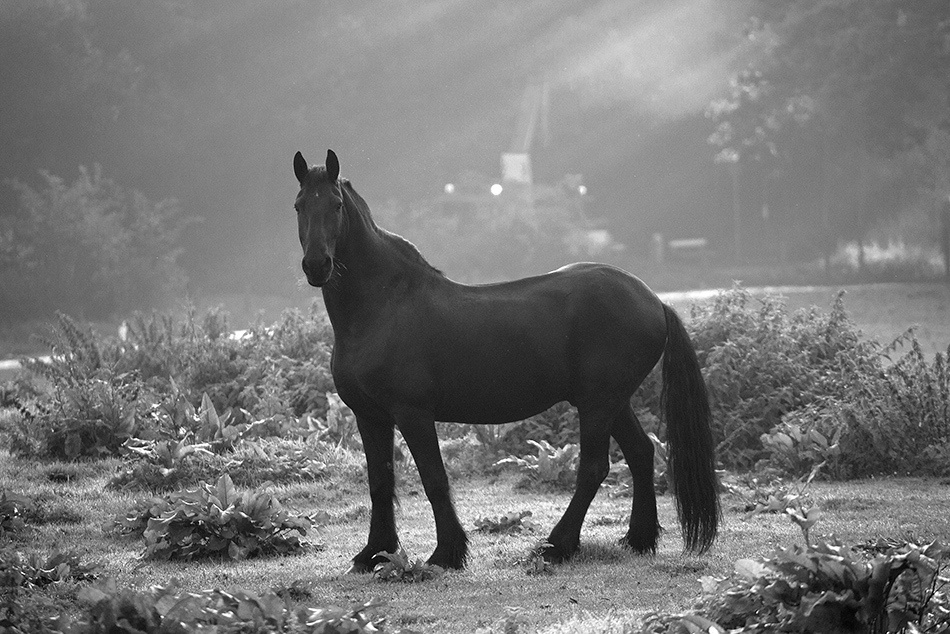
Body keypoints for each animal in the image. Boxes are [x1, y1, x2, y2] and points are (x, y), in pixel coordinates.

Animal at [292, 149, 719, 571]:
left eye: (336, 205)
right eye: (299, 205)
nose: (317, 265)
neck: (382, 307)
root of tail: (655, 301)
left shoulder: (413, 414)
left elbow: (434, 479)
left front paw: (446, 553)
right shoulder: (370, 416)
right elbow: (380, 482)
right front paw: (373, 553)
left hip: (599, 403)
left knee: (594, 468)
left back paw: (557, 546)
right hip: (611, 401)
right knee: (641, 453)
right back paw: (637, 539)